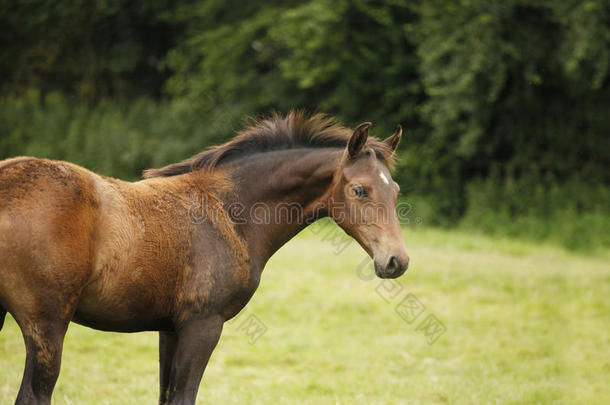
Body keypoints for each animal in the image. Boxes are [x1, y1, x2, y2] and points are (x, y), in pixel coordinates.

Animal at [1, 111, 408, 404]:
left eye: (396, 190)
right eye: (360, 190)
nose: (397, 261)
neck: (230, 212)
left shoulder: (169, 327)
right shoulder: (203, 325)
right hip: (47, 325)